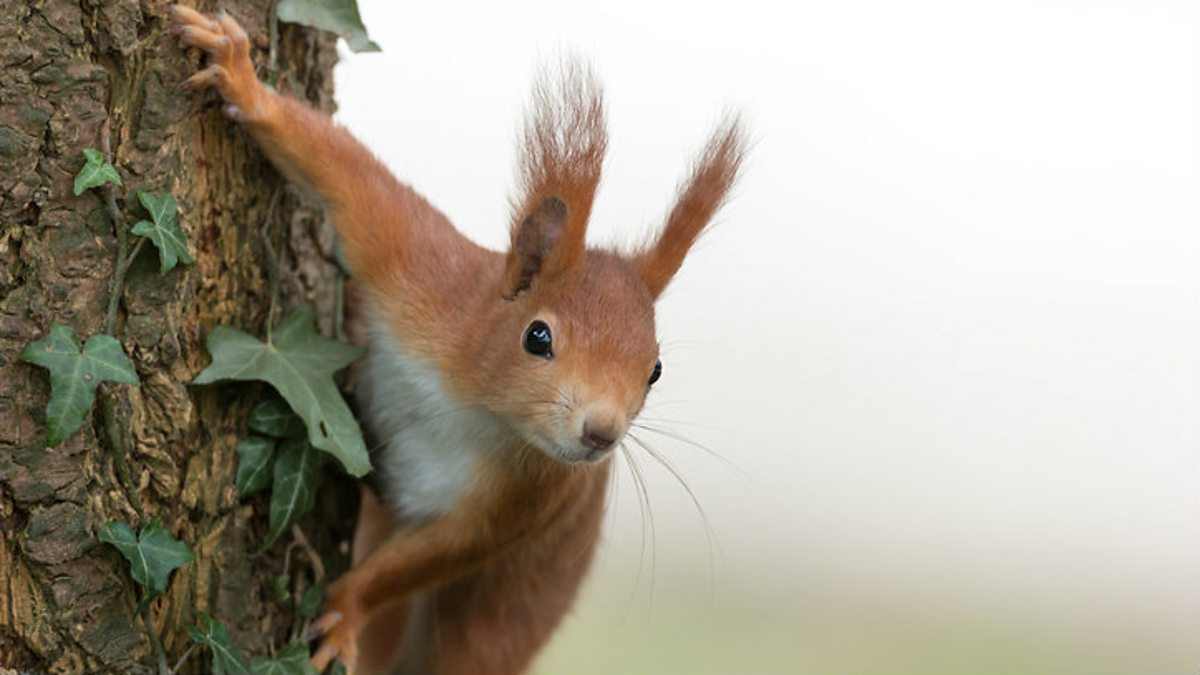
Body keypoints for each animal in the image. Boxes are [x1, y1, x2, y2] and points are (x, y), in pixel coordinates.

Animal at [169, 6, 744, 672]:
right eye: (537, 337)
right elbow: (347, 179)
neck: (472, 401)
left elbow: (436, 555)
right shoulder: (418, 271)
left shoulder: (530, 496)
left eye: (655, 371)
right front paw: (242, 79)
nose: (601, 433)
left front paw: (345, 613)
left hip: (496, 631)